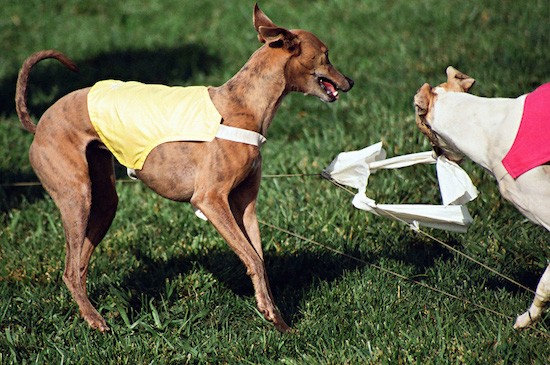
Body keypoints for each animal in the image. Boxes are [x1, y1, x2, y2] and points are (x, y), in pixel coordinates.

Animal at [15, 3, 356, 332]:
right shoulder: (210, 200)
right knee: (70, 270)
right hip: (77, 197)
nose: (351, 81)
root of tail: (40, 123)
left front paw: (278, 319)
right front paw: (271, 314)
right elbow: (253, 258)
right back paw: (96, 321)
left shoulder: (245, 204)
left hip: (103, 201)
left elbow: (259, 259)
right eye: (326, 54)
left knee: (79, 264)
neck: (244, 105)